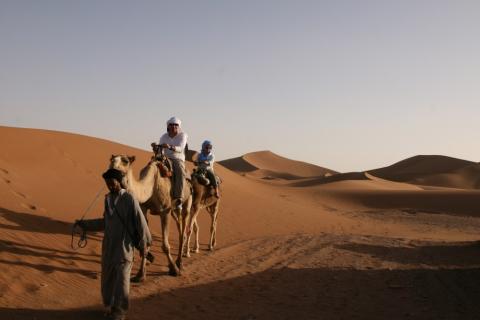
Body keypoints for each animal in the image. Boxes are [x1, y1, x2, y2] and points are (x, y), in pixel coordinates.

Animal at [109, 154, 191, 282]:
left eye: (126, 161)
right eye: (111, 160)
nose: (112, 172)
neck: (151, 186)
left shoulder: (165, 211)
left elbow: (165, 246)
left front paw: (174, 270)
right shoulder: (143, 208)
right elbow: (145, 242)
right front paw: (140, 275)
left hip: (187, 201)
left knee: (183, 231)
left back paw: (179, 263)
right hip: (174, 210)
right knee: (179, 226)